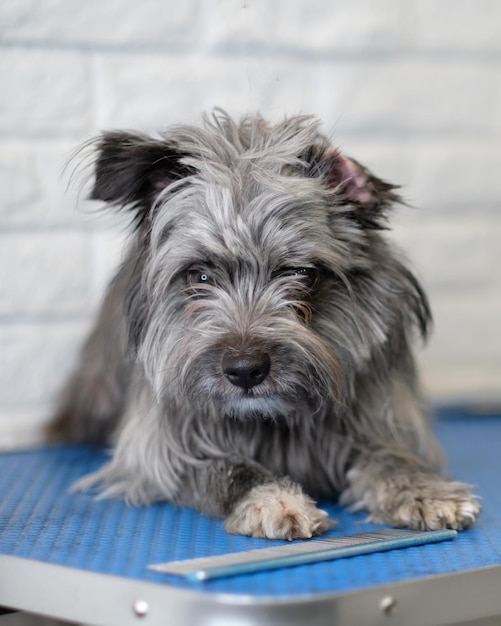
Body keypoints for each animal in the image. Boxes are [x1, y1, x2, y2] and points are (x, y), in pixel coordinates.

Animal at [47, 111, 480, 536]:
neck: (273, 419)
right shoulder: (156, 457)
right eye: (199, 275)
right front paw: (272, 498)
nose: (244, 370)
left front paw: (422, 490)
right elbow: (225, 469)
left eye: (301, 273)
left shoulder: (379, 423)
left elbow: (391, 457)